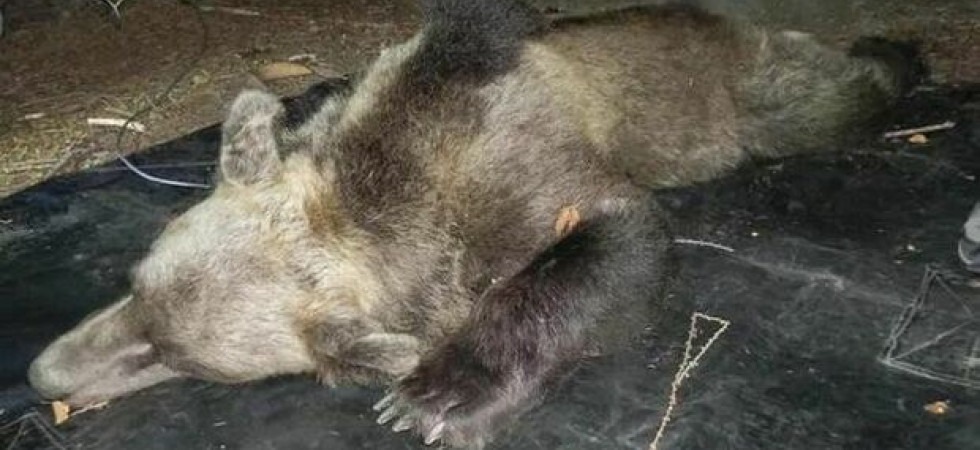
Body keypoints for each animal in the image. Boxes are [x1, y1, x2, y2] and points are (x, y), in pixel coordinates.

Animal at [27, 1, 920, 448]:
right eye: (133, 285)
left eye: (175, 357)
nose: (41, 376)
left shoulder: (522, 174)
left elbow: (617, 243)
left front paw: (440, 394)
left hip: (750, 94)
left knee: (823, 98)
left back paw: (898, 51)